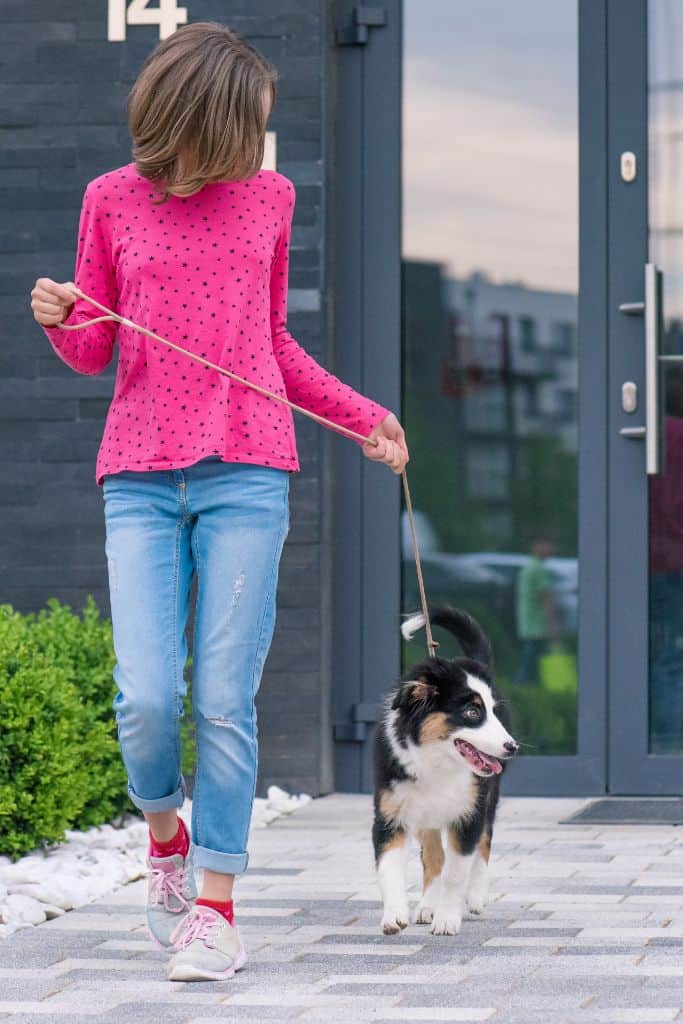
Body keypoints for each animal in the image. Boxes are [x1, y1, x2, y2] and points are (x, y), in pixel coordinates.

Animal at [374, 606, 518, 937]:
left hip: (488, 797)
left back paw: (475, 897)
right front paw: (394, 917)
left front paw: (447, 920)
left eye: (492, 712)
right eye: (472, 712)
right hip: (424, 816)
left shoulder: (468, 815)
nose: (511, 747)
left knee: (484, 842)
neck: (436, 761)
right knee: (433, 857)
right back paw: (427, 905)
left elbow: (457, 871)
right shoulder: (389, 816)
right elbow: (390, 869)